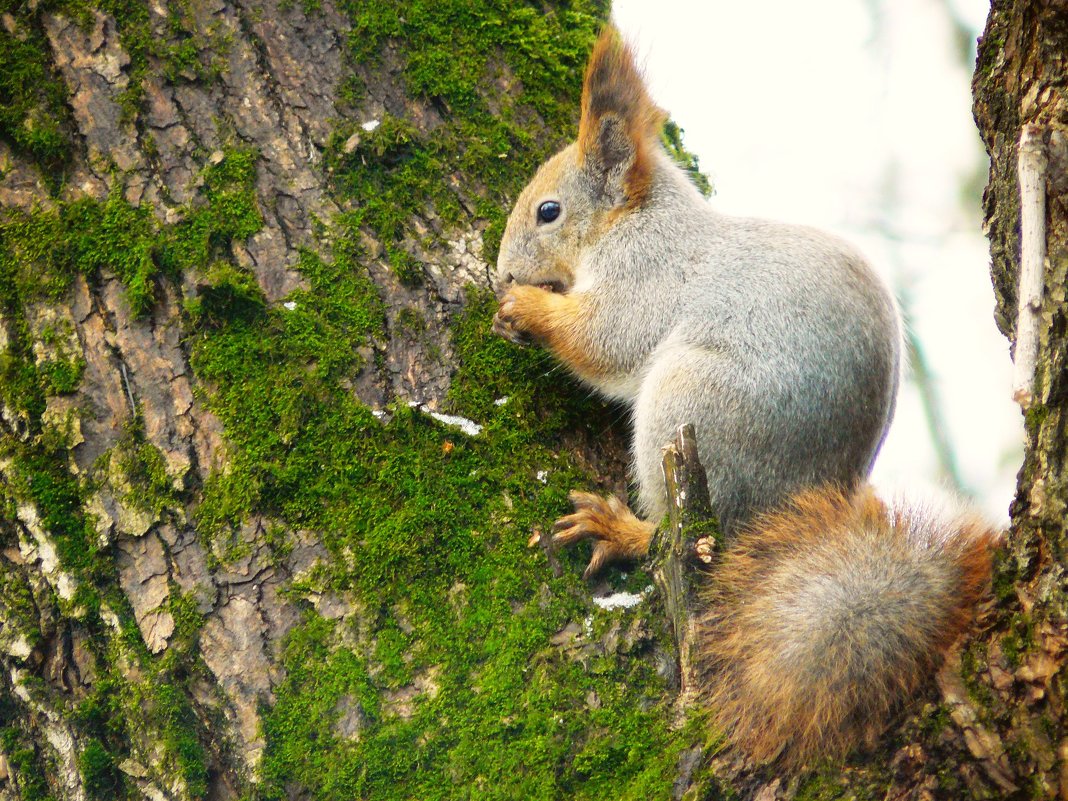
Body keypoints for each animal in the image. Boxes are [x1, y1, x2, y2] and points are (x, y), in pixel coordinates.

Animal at [489, 26, 1003, 773]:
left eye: (547, 211)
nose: (503, 270)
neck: (635, 222)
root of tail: (806, 493)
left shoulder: (646, 277)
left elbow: (605, 339)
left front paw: (523, 309)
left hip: (689, 407)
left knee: (678, 537)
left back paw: (622, 527)